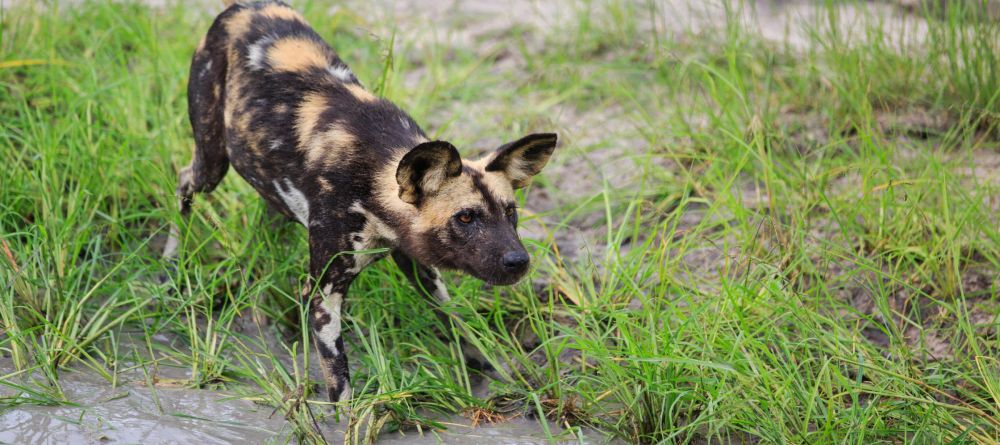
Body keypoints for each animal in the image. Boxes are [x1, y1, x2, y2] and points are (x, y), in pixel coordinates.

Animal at [163, 0, 556, 402]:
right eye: (465, 218)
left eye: (510, 213)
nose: (519, 261)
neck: (373, 180)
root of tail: (245, 7)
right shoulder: (324, 295)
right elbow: (340, 383)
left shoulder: (419, 266)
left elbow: (460, 323)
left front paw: (498, 373)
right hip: (212, 161)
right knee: (184, 181)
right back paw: (172, 261)